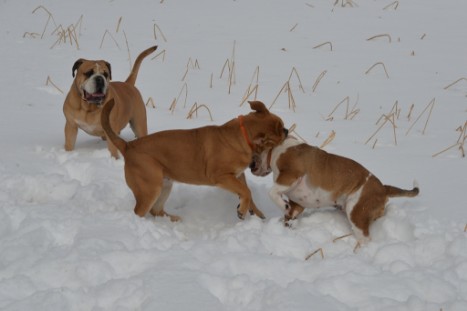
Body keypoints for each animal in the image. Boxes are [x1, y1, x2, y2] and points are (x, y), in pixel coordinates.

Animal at [100, 101, 288, 221]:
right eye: (279, 130)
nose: (286, 130)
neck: (243, 134)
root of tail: (128, 146)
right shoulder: (221, 177)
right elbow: (247, 192)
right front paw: (242, 211)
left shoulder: (237, 176)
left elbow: (247, 193)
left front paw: (255, 212)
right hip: (150, 188)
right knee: (139, 211)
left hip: (164, 184)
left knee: (156, 210)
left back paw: (173, 220)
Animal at [252, 136, 420, 244]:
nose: (251, 166)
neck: (277, 148)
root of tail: (383, 188)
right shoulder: (297, 204)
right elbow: (289, 213)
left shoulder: (290, 176)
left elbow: (272, 192)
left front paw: (282, 205)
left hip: (356, 211)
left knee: (365, 238)